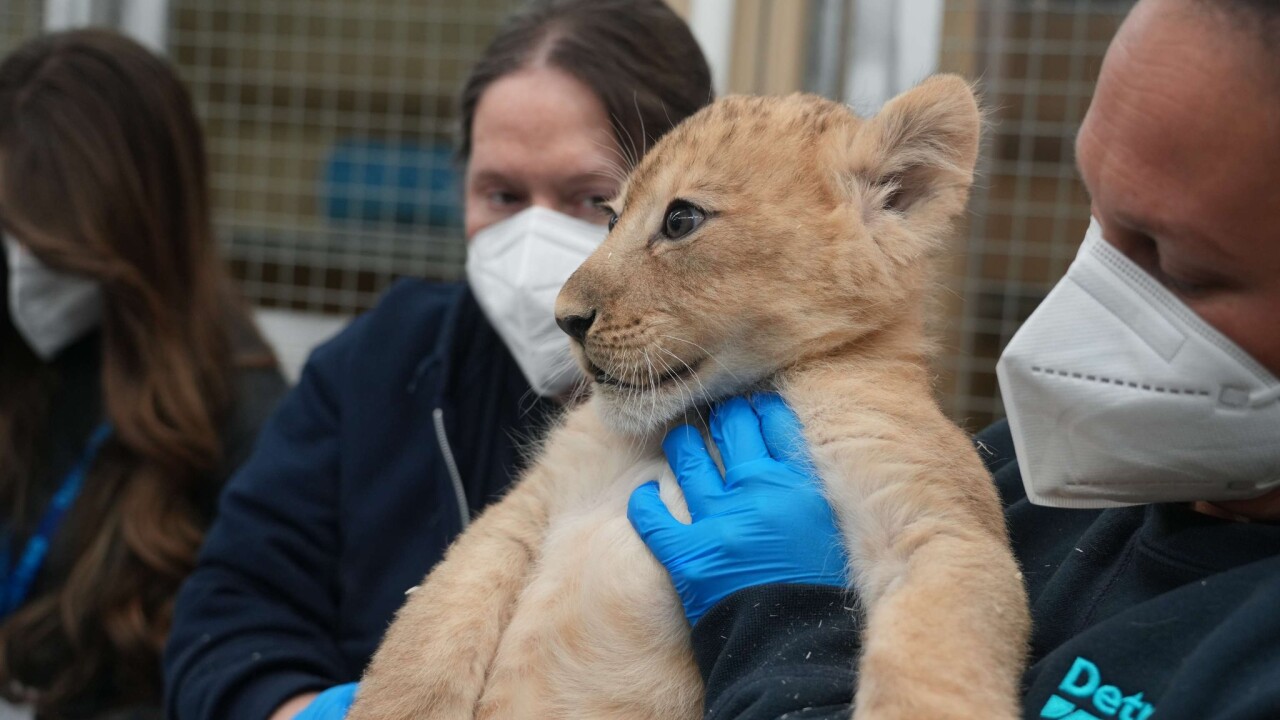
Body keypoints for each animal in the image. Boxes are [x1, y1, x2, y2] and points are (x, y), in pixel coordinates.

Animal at [347, 75, 1029, 720]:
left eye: (681, 220)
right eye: (610, 216)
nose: (565, 318)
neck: (698, 416)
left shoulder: (927, 519)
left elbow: (933, 658)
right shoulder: (522, 509)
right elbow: (423, 639)